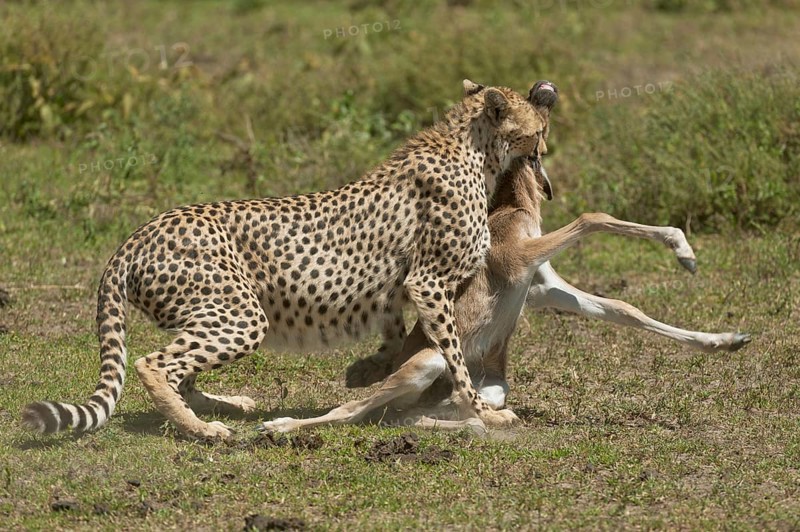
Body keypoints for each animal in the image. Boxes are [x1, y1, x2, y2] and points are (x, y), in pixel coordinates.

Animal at [21, 80, 548, 440]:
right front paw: (485, 411)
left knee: (181, 370)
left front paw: (365, 371)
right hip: (239, 314)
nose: (546, 137)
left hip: (213, 314)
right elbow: (455, 359)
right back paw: (202, 429)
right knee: (155, 364)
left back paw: (228, 405)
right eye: (537, 127)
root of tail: (135, 236)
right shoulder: (429, 282)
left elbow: (397, 338)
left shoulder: (398, 288)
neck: (473, 147)